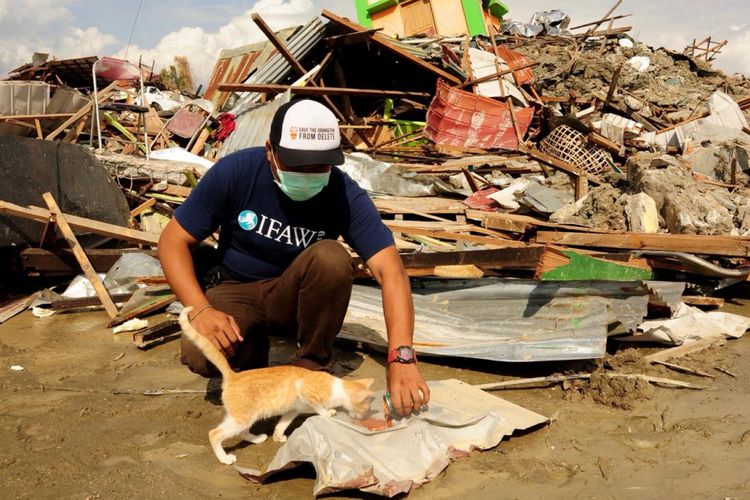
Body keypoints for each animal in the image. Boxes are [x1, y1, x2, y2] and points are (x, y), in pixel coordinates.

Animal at [177, 306, 376, 466]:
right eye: (365, 408)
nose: (364, 418)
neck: (337, 387)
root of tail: (233, 375)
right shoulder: (305, 390)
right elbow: (319, 407)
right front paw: (328, 413)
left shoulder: (292, 410)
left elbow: (282, 424)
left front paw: (278, 436)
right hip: (241, 418)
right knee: (215, 433)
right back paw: (225, 458)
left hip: (248, 417)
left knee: (242, 433)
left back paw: (257, 438)